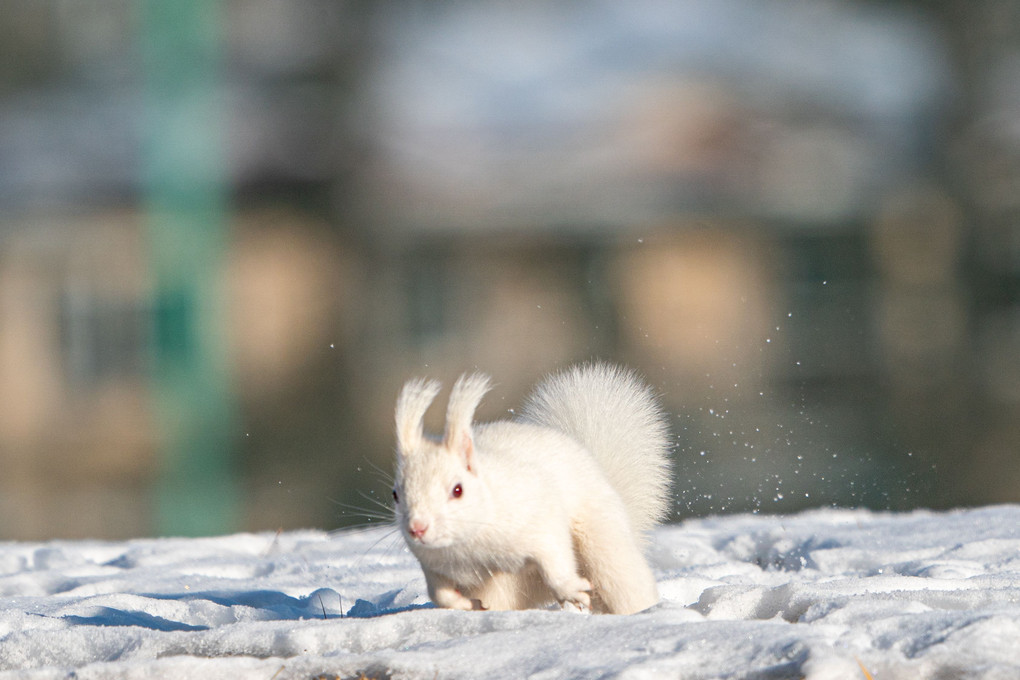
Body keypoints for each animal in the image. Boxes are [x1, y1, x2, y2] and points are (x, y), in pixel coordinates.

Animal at [393, 364, 673, 615]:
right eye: (396, 494)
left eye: (457, 490)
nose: (417, 528)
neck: (466, 546)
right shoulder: (433, 564)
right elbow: (439, 593)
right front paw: (466, 604)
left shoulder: (537, 515)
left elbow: (553, 555)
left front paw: (571, 590)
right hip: (501, 588)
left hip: (602, 544)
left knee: (624, 582)